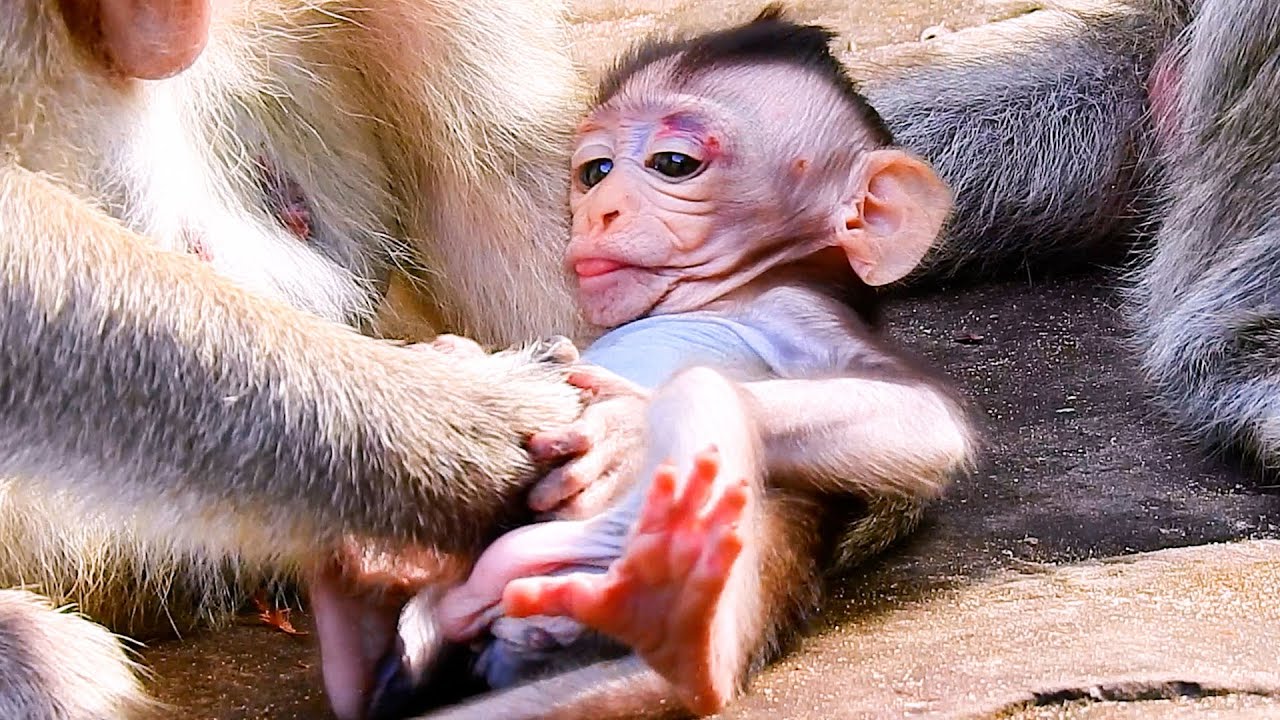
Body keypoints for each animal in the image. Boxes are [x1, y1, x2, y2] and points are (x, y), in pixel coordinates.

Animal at [361, 11, 977, 719]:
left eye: (673, 164)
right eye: (595, 171)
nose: (599, 211)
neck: (724, 292)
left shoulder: (796, 311)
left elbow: (922, 418)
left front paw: (625, 425)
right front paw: (461, 361)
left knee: (703, 395)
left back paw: (670, 626)